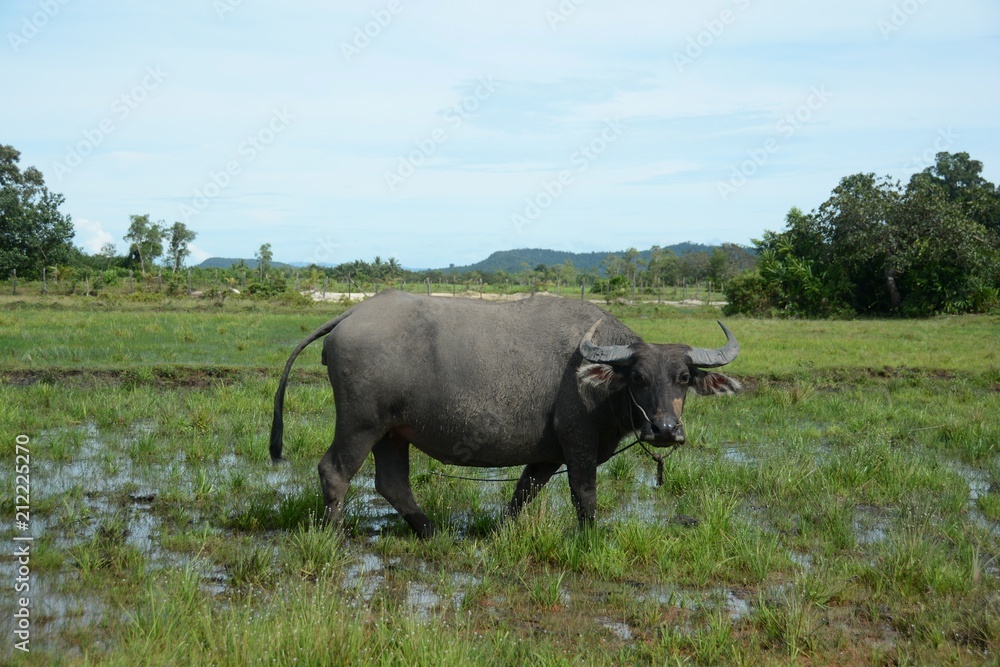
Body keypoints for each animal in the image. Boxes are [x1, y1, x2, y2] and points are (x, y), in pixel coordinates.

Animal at [271, 290, 741, 537]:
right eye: (638, 378)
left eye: (683, 377)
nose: (664, 429)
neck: (598, 381)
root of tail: (354, 312)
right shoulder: (578, 445)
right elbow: (585, 495)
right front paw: (590, 536)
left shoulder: (547, 455)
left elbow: (523, 493)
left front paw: (502, 530)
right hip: (360, 424)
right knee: (335, 471)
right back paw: (336, 534)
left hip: (392, 432)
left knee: (391, 483)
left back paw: (431, 531)